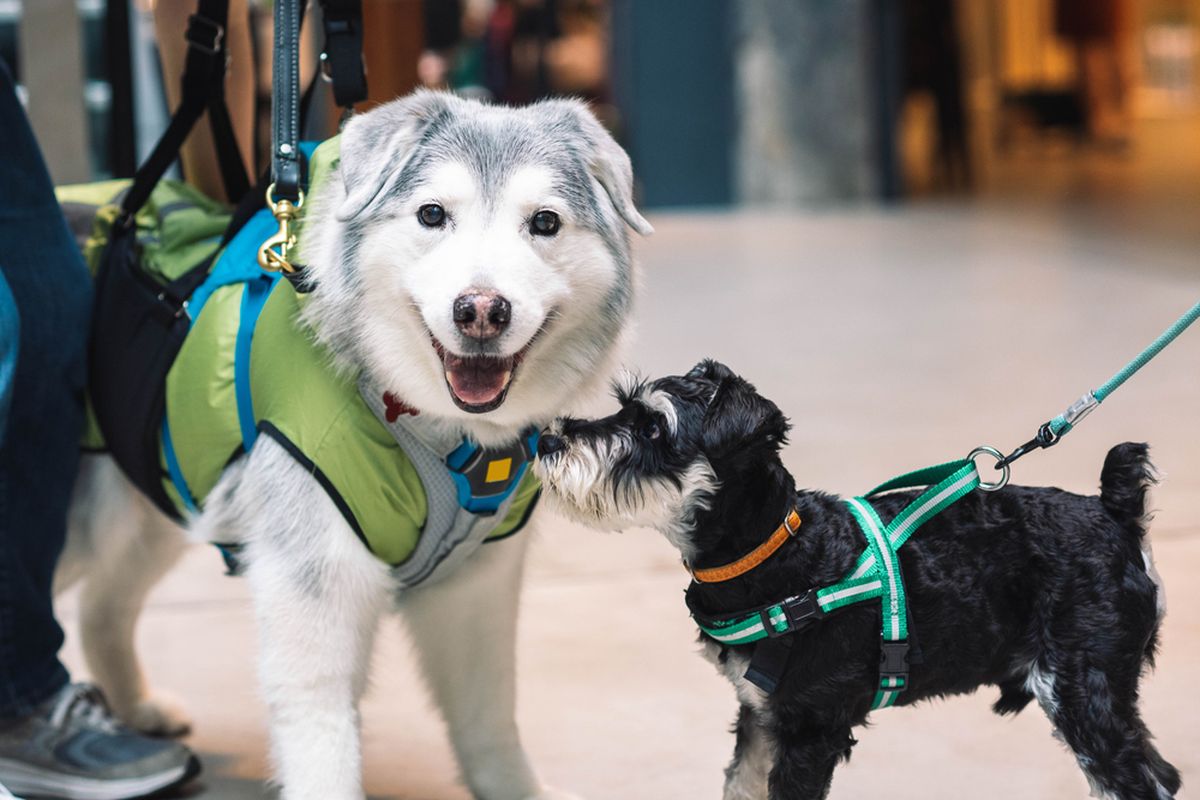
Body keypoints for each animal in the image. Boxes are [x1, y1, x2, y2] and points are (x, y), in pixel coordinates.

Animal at [55, 90, 652, 800]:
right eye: (431, 214)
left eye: (545, 222)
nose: (481, 310)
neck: (432, 431)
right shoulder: (314, 581)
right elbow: (322, 740)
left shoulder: (478, 585)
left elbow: (489, 722)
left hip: (149, 509)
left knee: (102, 605)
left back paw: (137, 709)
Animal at [537, 362, 1180, 800]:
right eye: (625, 409)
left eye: (652, 429)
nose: (547, 439)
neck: (778, 556)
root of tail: (1116, 512)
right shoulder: (760, 718)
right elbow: (740, 785)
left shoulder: (810, 731)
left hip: (1081, 693)